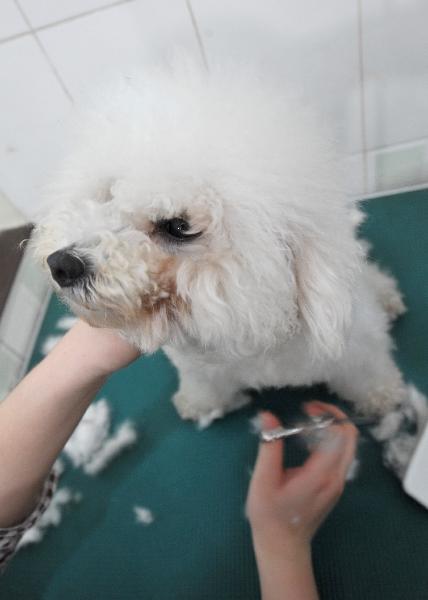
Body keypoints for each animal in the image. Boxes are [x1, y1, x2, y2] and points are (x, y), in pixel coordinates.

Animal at [31, 62, 426, 474]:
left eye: (178, 226)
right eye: (108, 195)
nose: (62, 264)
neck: (261, 333)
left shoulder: (357, 347)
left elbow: (367, 372)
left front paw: (382, 397)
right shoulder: (199, 364)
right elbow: (204, 384)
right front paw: (200, 404)